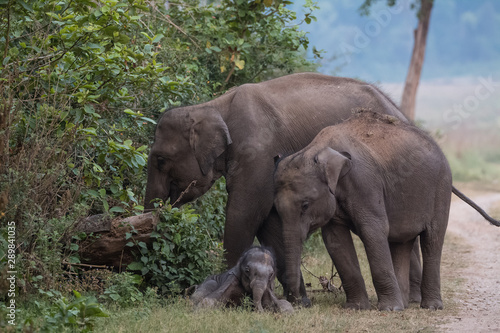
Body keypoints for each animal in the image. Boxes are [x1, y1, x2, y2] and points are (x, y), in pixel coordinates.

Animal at [144, 72, 406, 304]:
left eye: (160, 160)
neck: (213, 105)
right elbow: (268, 223)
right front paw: (299, 301)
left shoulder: (258, 154)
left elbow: (244, 215)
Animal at [274, 110, 454, 310]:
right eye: (276, 208)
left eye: (305, 205)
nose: (299, 304)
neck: (316, 148)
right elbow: (335, 240)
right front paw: (356, 307)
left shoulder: (364, 182)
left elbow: (373, 231)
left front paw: (388, 309)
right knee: (401, 242)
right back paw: (403, 304)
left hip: (442, 187)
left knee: (432, 239)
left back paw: (430, 306)